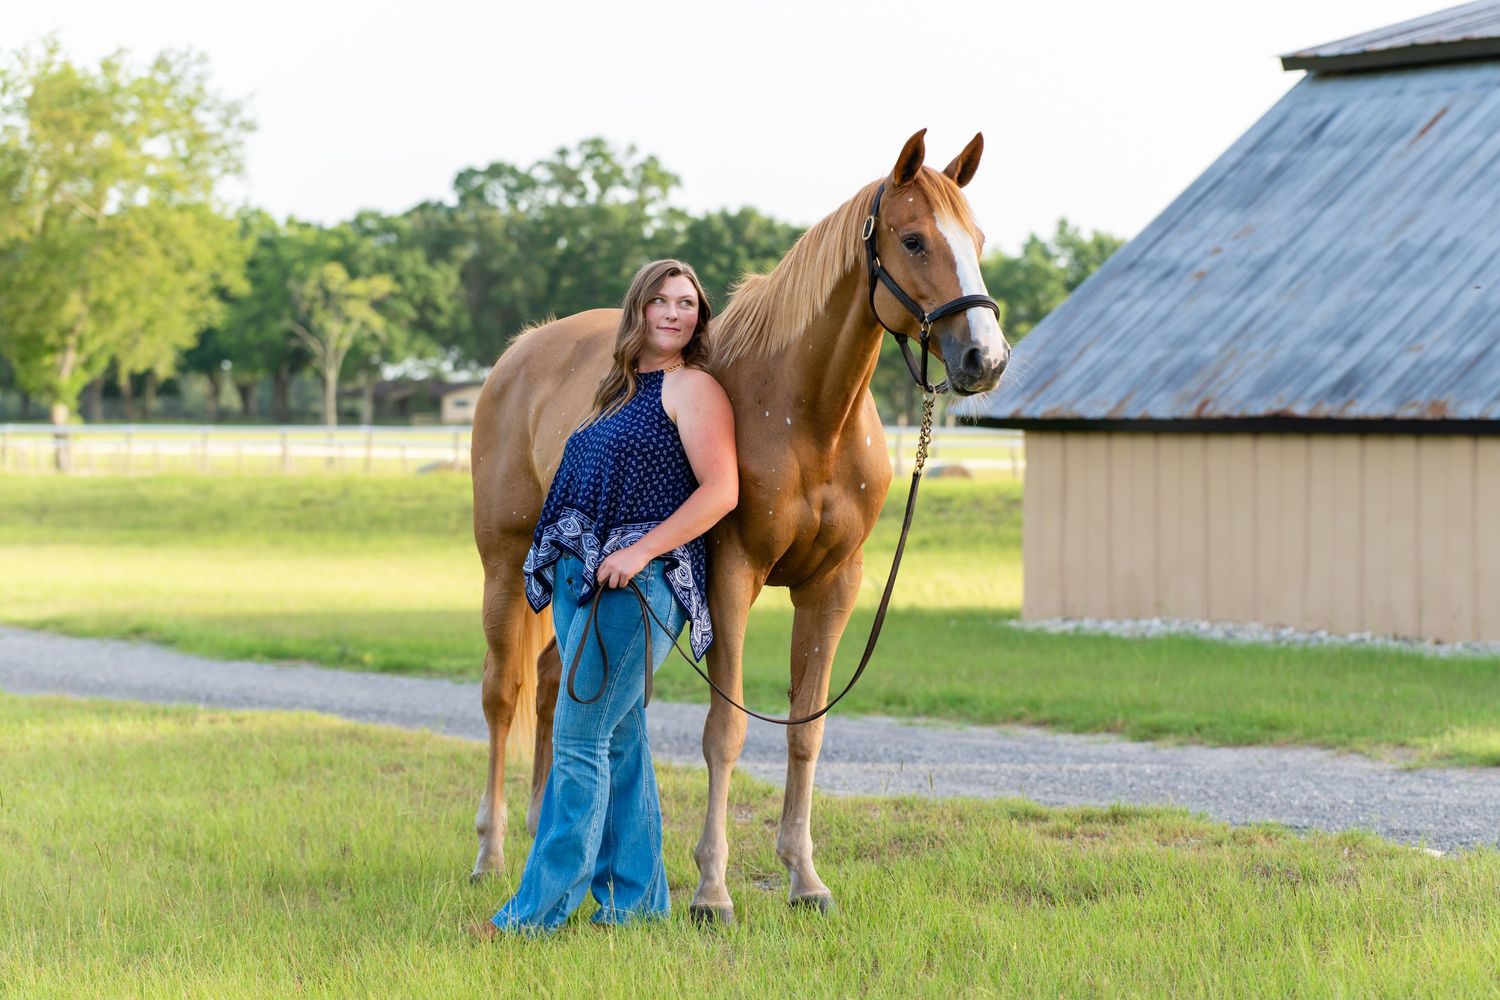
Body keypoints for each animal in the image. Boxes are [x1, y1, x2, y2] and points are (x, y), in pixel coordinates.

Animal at [469, 129, 1009, 922]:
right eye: (913, 239)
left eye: (977, 239)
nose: (985, 357)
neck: (806, 413)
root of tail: (518, 354)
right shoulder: (730, 575)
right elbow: (725, 732)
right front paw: (712, 890)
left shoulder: (833, 585)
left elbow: (807, 730)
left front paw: (805, 878)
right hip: (505, 567)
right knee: (502, 695)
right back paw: (492, 853)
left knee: (550, 686)